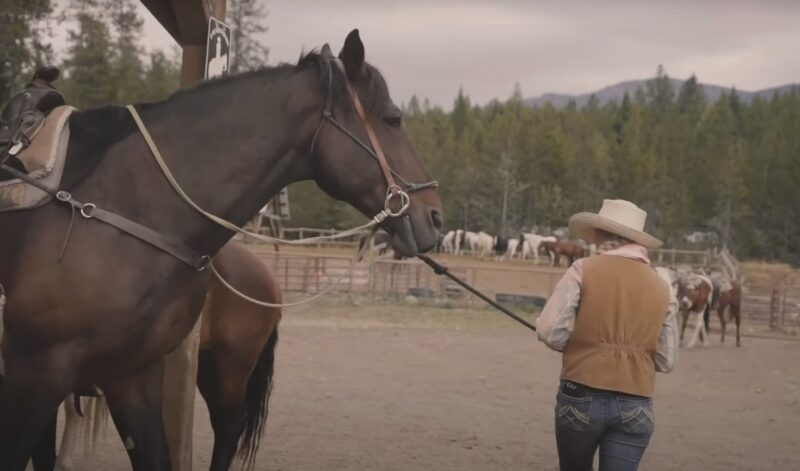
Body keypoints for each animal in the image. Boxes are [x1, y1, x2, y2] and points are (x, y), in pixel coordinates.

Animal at [0, 30, 444, 471]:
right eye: (392, 119)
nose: (435, 217)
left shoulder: (125, 375)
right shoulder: (47, 373)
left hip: (227, 368)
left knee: (228, 429)